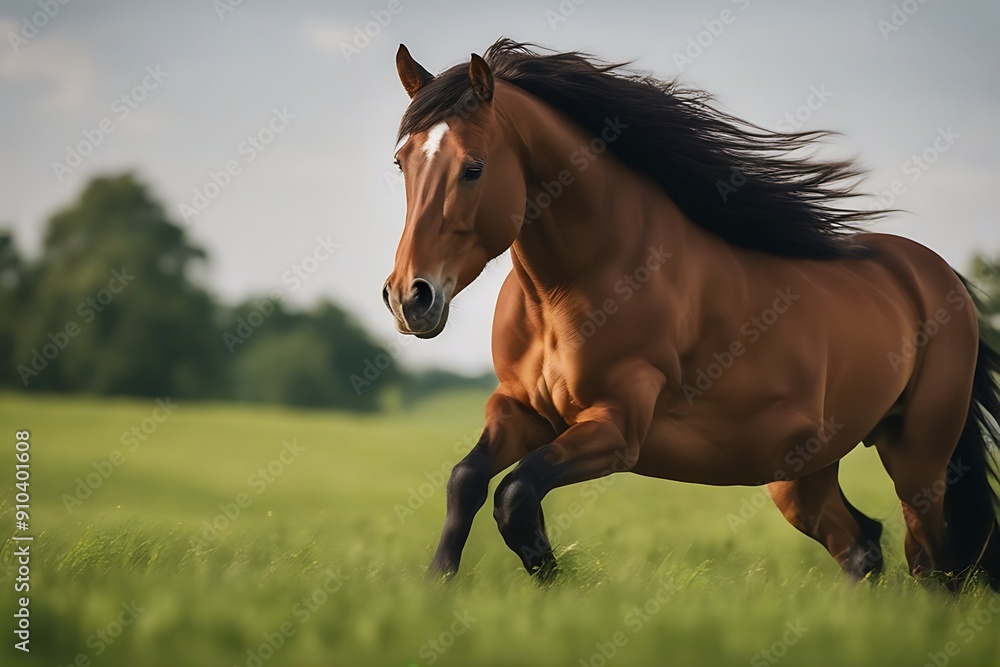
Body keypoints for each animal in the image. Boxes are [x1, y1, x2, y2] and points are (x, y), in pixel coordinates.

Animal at [381, 39, 1000, 586]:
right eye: (401, 162)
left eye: (474, 167)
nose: (411, 298)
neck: (574, 286)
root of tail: (937, 275)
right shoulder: (521, 409)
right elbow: (466, 481)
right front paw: (437, 589)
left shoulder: (617, 426)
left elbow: (516, 495)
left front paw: (557, 584)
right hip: (801, 473)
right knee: (863, 546)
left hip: (918, 456)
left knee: (932, 560)